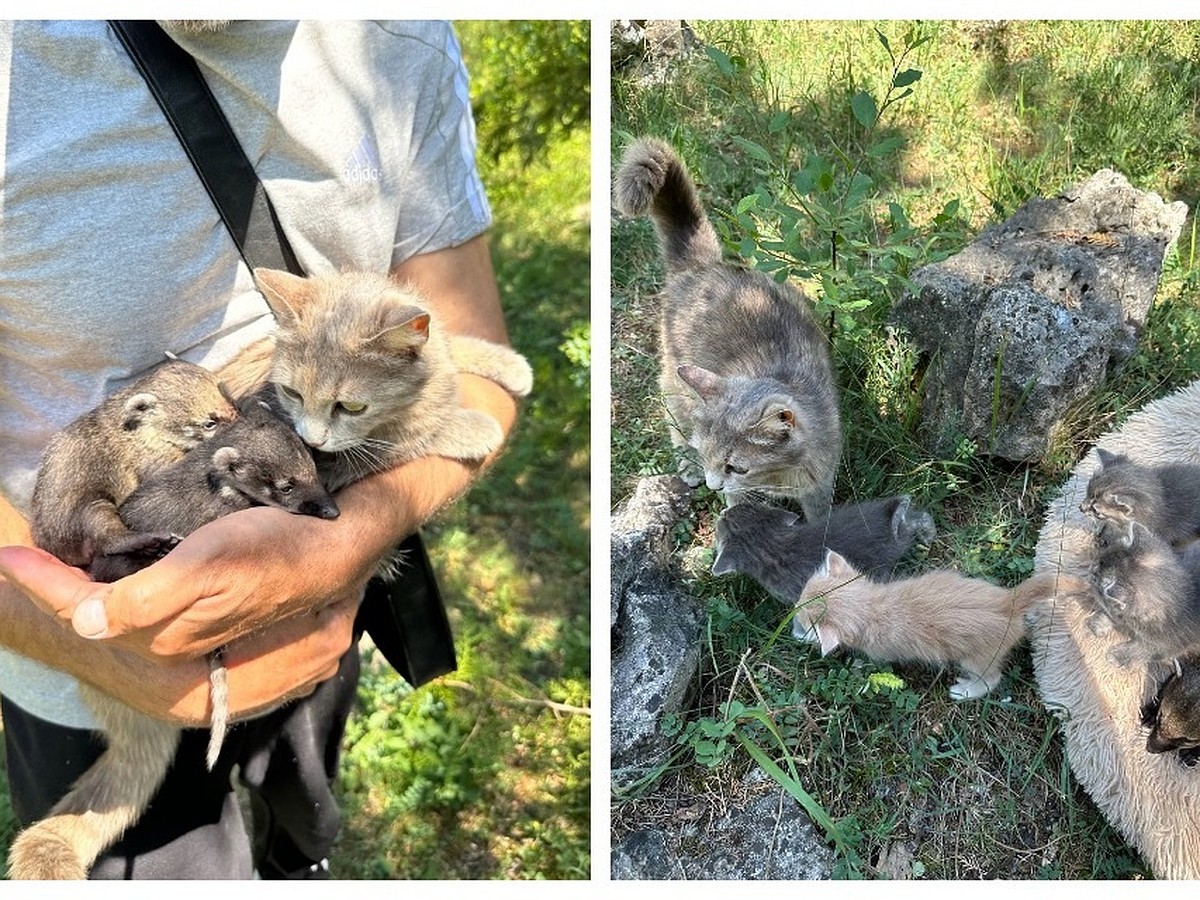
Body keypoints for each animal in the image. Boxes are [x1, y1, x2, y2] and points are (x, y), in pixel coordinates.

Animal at [614, 138, 840, 525]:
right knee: (673, 415)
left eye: (736, 467)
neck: (780, 476)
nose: (713, 483)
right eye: (708, 456)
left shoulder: (821, 480)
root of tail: (705, 266)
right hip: (675, 382)